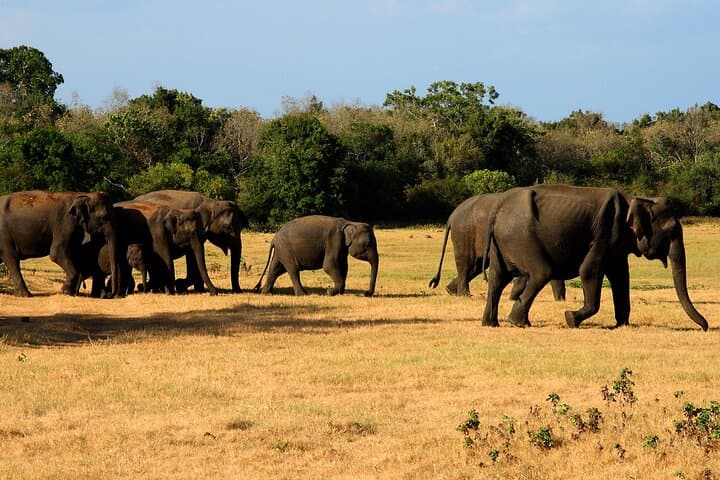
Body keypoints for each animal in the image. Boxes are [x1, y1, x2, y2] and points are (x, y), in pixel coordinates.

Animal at [429, 192, 566, 300]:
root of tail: (451, 217)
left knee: (476, 266)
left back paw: (451, 291)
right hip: (464, 232)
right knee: (467, 264)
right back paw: (464, 295)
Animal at [480, 184, 708, 330]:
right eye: (671, 231)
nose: (705, 327)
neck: (637, 198)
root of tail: (497, 210)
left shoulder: (616, 245)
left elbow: (620, 277)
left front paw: (622, 325)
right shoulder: (605, 232)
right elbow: (589, 270)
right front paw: (570, 318)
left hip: (503, 242)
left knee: (497, 279)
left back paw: (491, 324)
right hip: (521, 237)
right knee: (541, 272)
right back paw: (518, 322)